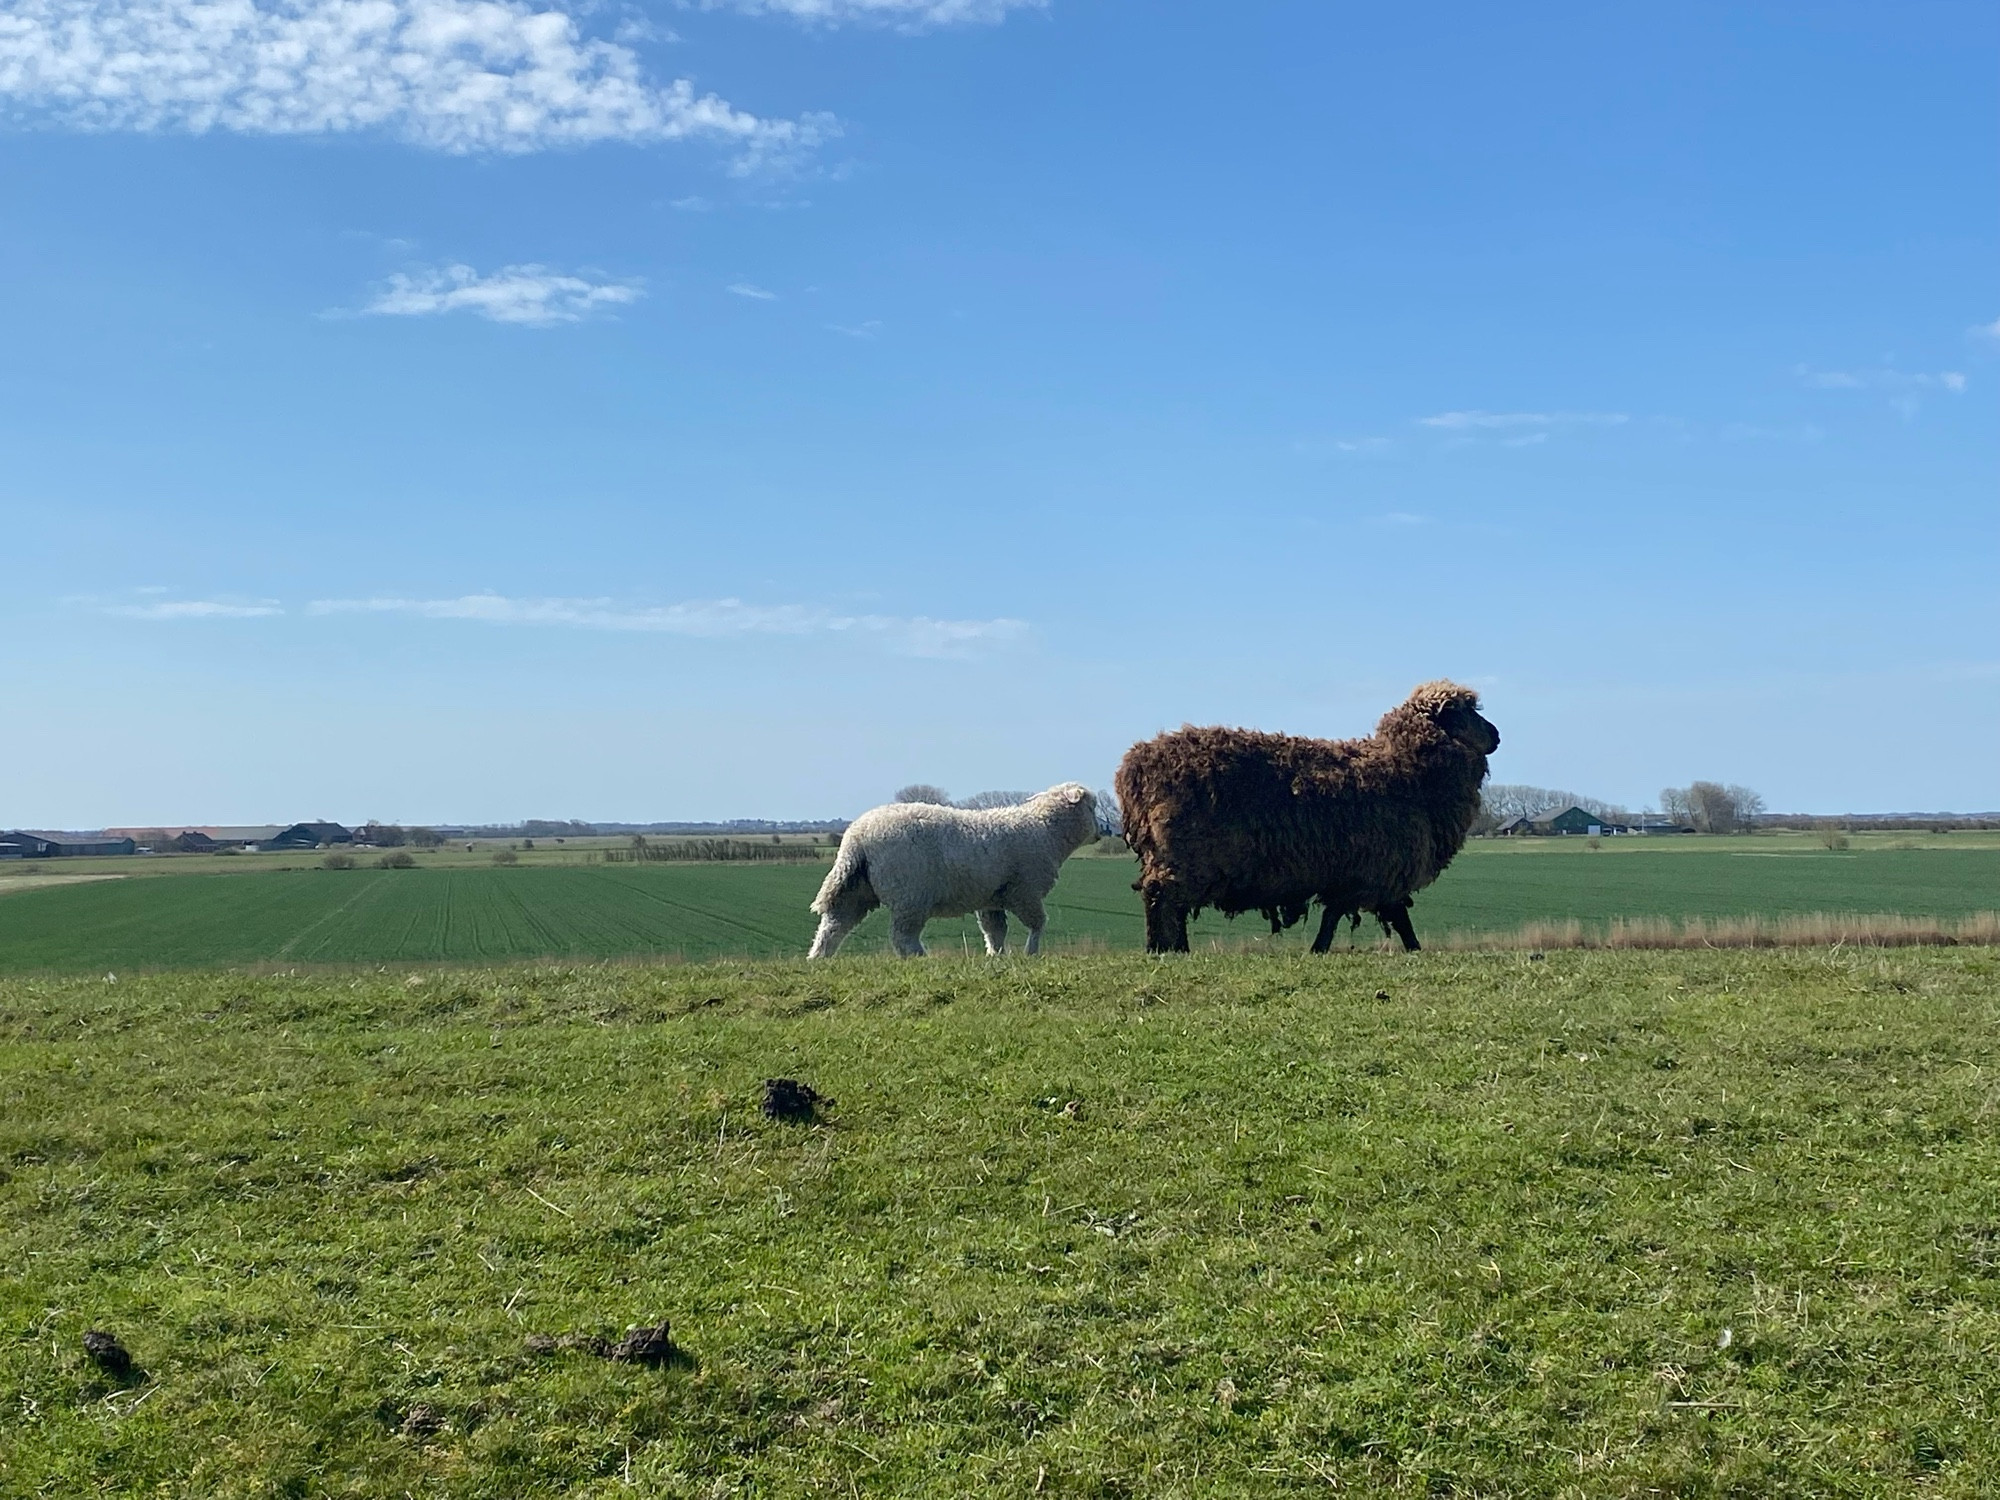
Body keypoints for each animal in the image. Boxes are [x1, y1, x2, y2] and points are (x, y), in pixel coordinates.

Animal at [804, 788, 1104, 964]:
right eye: (1092, 807)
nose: (1104, 831)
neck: (1045, 829)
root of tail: (856, 836)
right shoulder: (1025, 891)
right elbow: (1038, 923)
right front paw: (1031, 952)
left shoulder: (991, 898)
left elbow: (995, 931)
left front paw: (996, 956)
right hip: (910, 894)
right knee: (901, 936)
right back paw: (921, 958)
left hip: (856, 889)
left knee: (833, 925)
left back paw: (819, 959)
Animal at [1120, 680, 1496, 952]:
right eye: (1461, 713)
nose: (1497, 736)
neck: (1405, 768)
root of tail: (1133, 768)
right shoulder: (1377, 870)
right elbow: (1389, 918)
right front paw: (1412, 949)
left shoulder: (1356, 873)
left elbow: (1344, 916)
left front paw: (1320, 949)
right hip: (1184, 855)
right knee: (1162, 897)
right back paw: (1164, 949)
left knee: (1167, 901)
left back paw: (1170, 948)